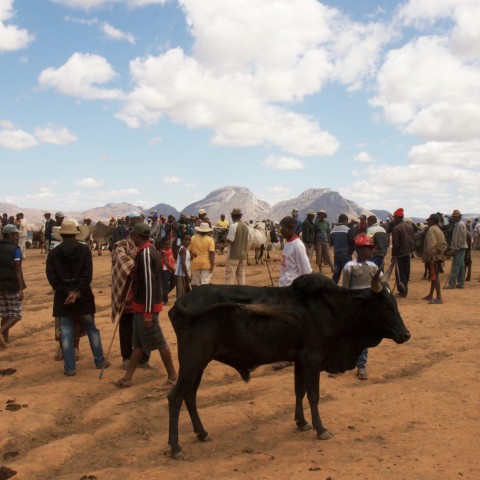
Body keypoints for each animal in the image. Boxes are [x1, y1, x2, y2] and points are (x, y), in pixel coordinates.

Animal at [167, 272, 410, 460]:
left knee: (190, 396)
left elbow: (299, 391)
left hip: (198, 364)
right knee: (176, 397)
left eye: (395, 303)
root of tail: (182, 301)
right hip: (192, 361)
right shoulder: (312, 358)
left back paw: (202, 433)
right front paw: (321, 428)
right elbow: (313, 395)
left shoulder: (300, 359)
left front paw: (302, 423)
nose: (406, 335)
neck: (332, 308)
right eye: (386, 306)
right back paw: (176, 447)